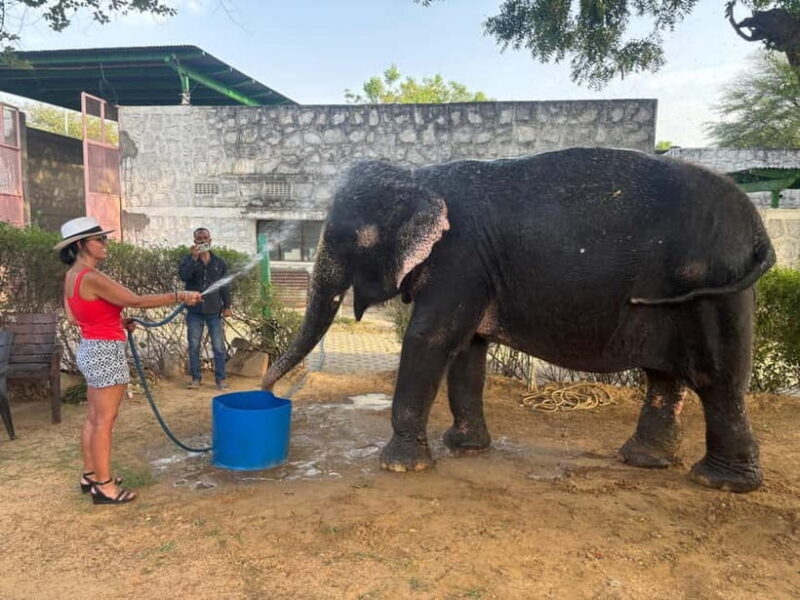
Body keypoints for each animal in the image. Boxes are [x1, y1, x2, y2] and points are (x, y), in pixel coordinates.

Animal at [262, 147, 776, 493]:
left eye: (343, 236)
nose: (267, 392)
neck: (418, 177)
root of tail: (759, 230)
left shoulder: (460, 259)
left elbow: (431, 338)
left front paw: (401, 467)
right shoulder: (474, 270)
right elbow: (467, 350)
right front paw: (465, 448)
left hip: (714, 292)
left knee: (717, 381)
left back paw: (719, 483)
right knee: (665, 377)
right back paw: (644, 461)